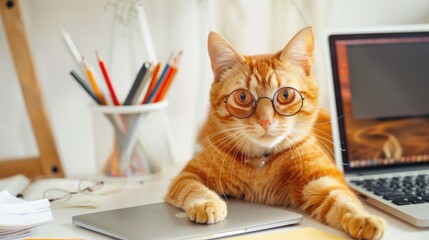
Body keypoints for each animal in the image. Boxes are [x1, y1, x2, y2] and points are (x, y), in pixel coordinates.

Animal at [166, 27, 386, 239]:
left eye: (285, 95)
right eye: (243, 97)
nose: (265, 121)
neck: (261, 162)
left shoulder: (322, 180)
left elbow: (343, 200)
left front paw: (364, 218)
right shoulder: (188, 174)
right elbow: (193, 189)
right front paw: (206, 203)